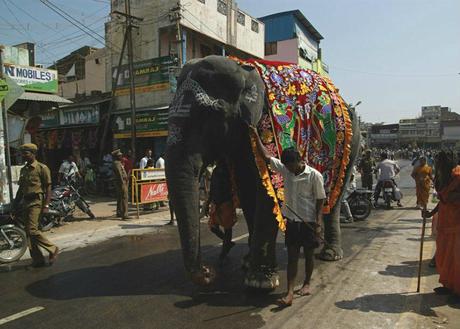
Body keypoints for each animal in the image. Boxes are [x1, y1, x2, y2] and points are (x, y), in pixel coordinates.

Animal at [164, 55, 362, 288]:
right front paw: (247, 264)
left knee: (333, 199)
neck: (245, 71)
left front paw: (259, 282)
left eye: (210, 114)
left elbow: (268, 192)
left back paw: (330, 254)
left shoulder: (271, 129)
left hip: (350, 146)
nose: (207, 272)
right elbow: (247, 189)